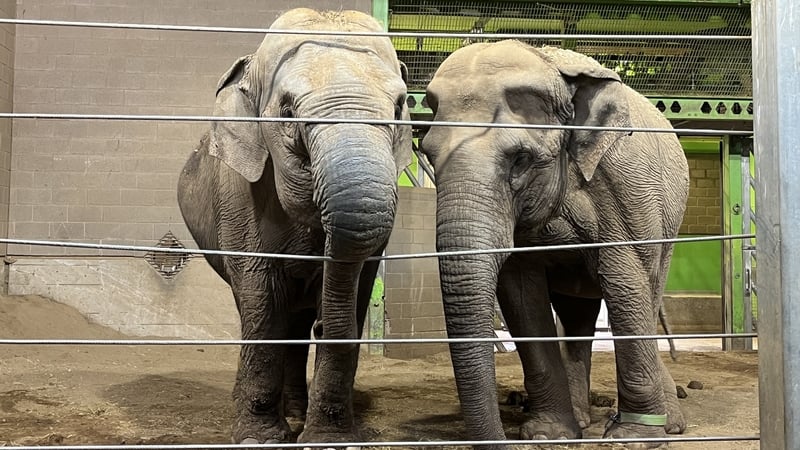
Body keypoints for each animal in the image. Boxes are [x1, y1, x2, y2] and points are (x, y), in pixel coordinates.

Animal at [176, 8, 411, 447]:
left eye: (401, 105)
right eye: (287, 112)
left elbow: (353, 297)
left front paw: (332, 439)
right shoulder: (241, 197)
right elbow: (264, 303)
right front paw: (259, 439)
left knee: (300, 324)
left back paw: (300, 412)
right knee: (266, 313)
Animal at [419, 40, 689, 448]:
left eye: (520, 160)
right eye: (428, 155)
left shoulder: (623, 186)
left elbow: (625, 280)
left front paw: (632, 438)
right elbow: (521, 294)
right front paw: (549, 433)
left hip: (670, 222)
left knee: (648, 290)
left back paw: (670, 422)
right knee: (577, 313)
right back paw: (582, 419)